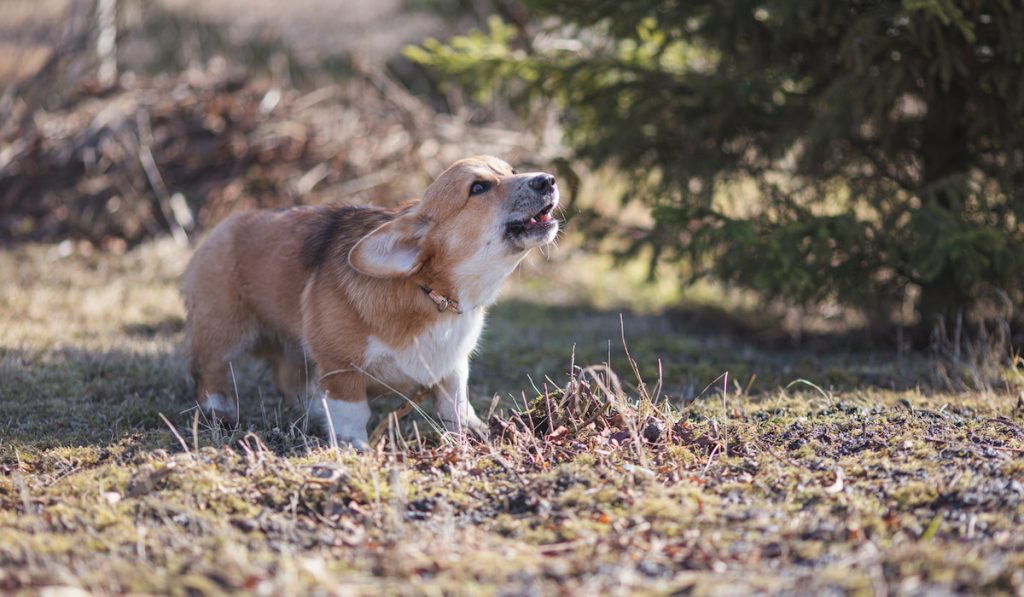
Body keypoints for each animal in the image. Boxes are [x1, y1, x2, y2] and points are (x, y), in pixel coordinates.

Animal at [180, 156, 557, 446]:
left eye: (511, 170)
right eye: (478, 188)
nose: (548, 180)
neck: (429, 293)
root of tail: (223, 225)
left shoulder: (452, 366)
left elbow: (456, 402)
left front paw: (474, 429)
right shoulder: (340, 367)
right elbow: (353, 410)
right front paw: (354, 446)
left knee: (290, 380)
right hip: (223, 331)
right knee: (208, 372)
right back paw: (220, 410)